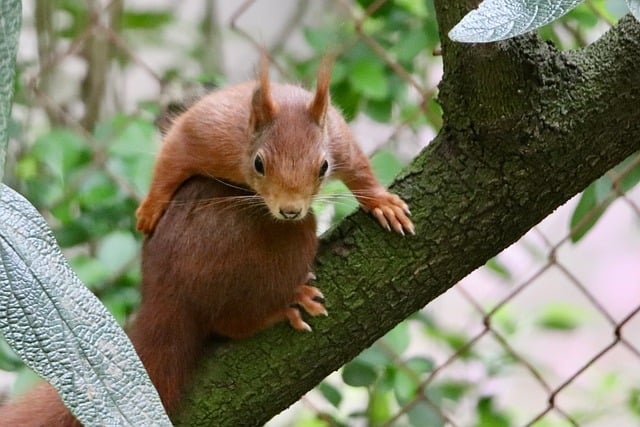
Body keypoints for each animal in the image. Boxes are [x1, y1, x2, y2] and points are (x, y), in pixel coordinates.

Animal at [0, 55, 413, 425]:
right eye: (259, 164)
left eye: (323, 167)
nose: (289, 210)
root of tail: (165, 298)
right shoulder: (211, 133)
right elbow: (175, 150)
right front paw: (150, 206)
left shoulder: (338, 139)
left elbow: (357, 166)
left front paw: (382, 202)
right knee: (231, 324)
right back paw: (283, 304)